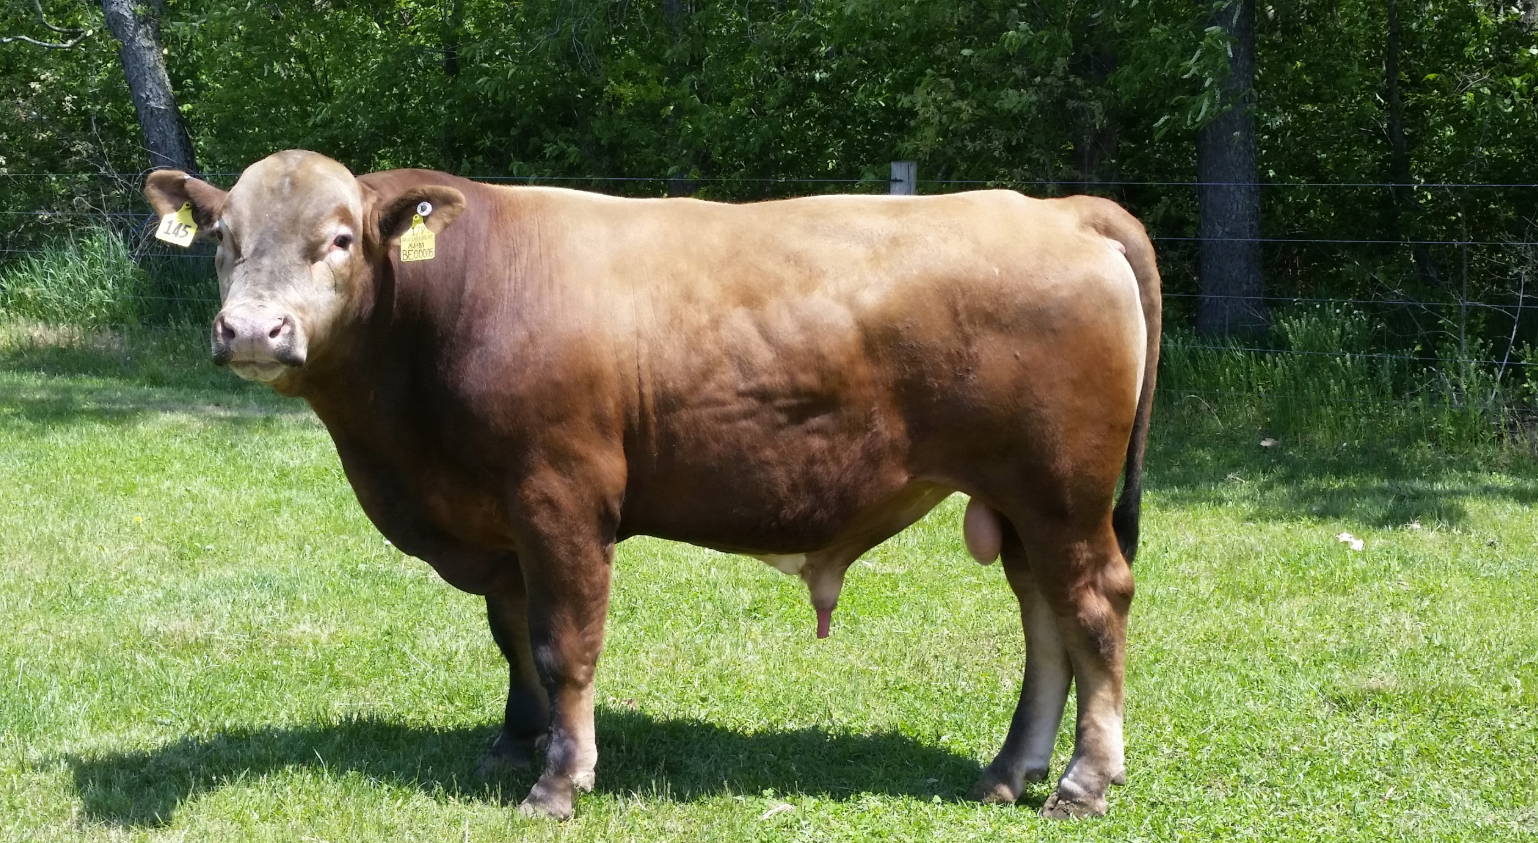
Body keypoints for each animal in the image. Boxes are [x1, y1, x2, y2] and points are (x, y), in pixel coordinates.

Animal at [144, 149, 1160, 822]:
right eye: (223, 238)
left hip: (1062, 493)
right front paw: (513, 741)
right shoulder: (500, 520)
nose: (252, 330)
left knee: (1095, 608)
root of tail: (1060, 209)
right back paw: (1009, 768)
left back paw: (1084, 781)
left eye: (341, 238)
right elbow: (512, 636)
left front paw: (558, 780)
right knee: (1045, 621)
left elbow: (564, 644)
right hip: (1022, 504)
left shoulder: (560, 496)